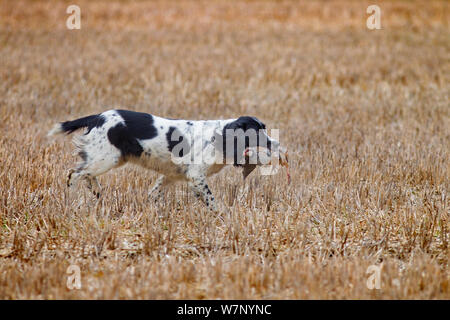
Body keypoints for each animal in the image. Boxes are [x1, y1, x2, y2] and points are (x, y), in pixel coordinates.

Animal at [48, 109, 288, 211]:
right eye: (257, 132)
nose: (276, 143)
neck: (217, 137)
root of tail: (98, 116)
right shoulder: (196, 176)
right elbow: (212, 202)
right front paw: (224, 216)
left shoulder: (173, 175)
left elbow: (153, 194)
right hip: (107, 157)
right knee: (74, 174)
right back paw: (70, 200)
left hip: (109, 158)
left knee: (87, 175)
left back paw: (98, 194)